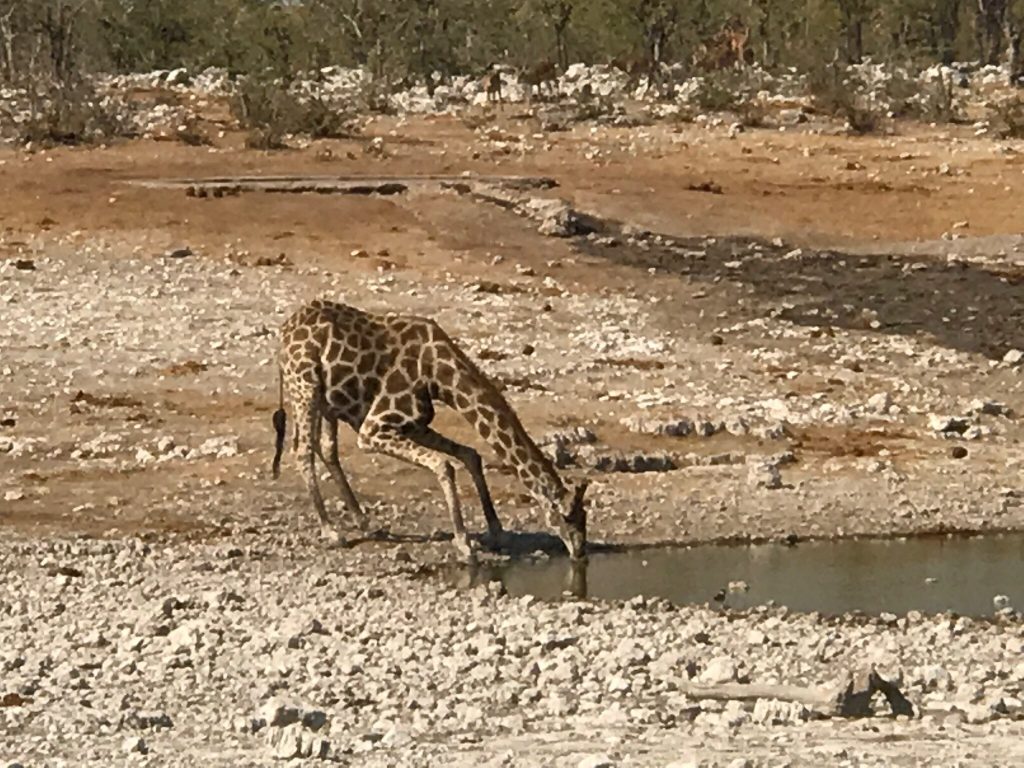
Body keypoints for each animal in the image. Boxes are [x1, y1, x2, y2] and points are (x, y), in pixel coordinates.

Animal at [271, 299, 589, 561]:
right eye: (567, 517)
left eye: (585, 516)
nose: (580, 552)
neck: (440, 375)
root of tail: (284, 333)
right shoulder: (374, 428)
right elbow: (444, 465)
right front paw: (463, 544)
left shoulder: (414, 424)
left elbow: (471, 455)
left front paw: (497, 530)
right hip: (305, 386)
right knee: (303, 451)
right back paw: (331, 531)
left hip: (326, 402)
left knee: (326, 448)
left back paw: (366, 523)